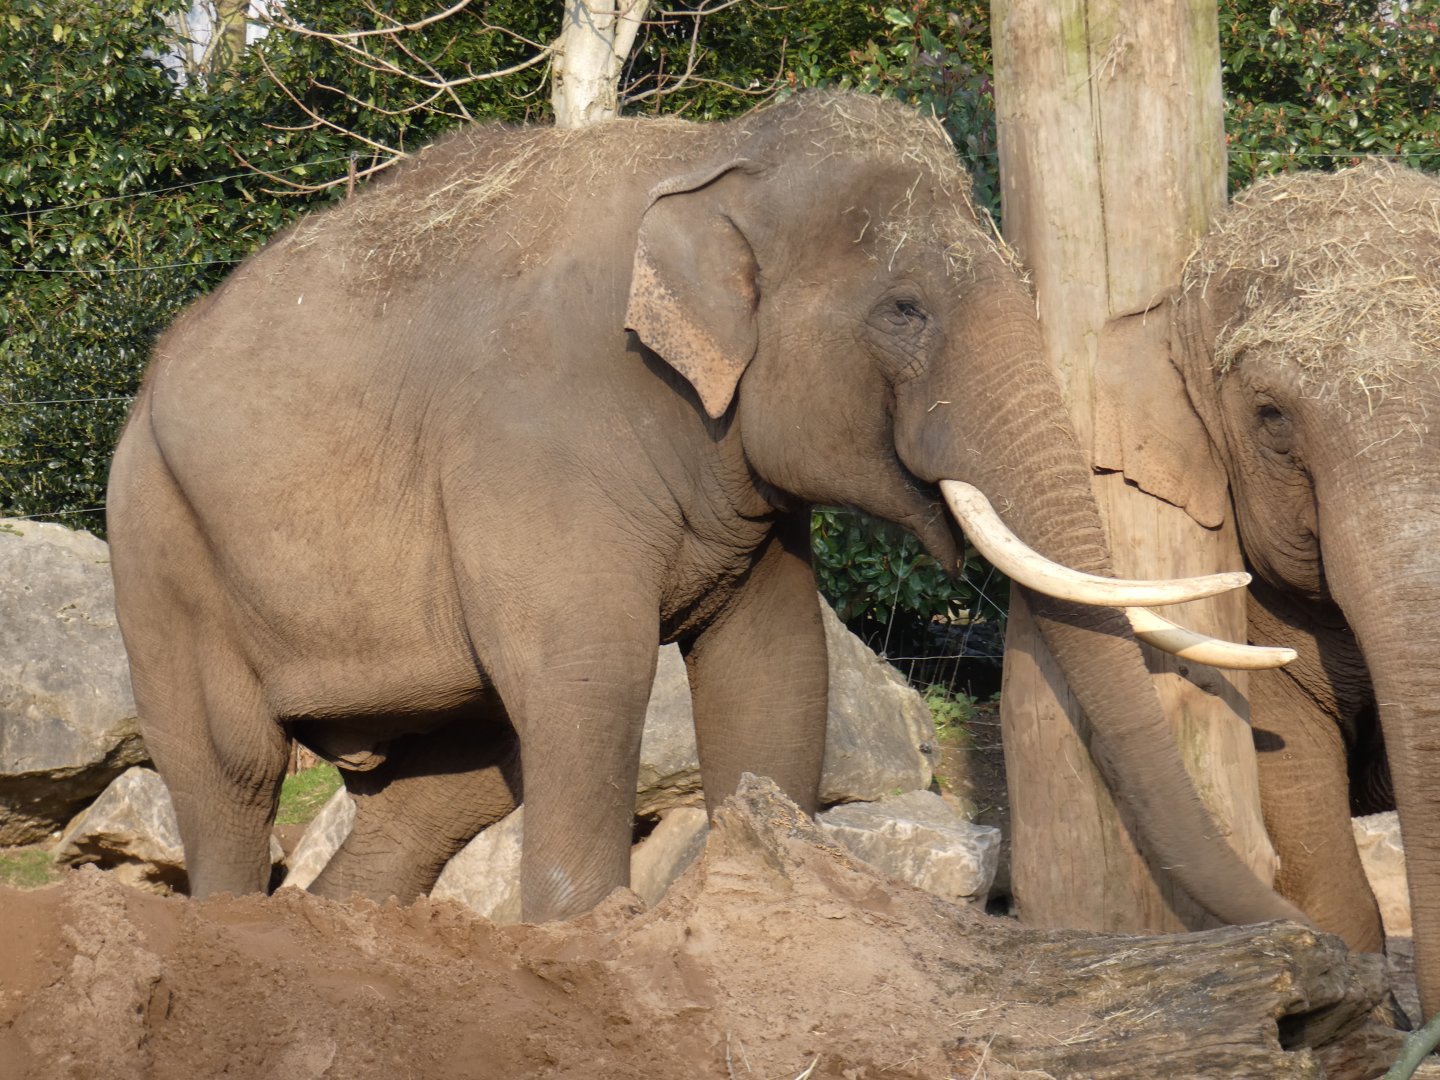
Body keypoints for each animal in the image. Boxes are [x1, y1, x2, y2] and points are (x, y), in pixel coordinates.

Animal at [106, 90, 1303, 928]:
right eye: (905, 309)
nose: (1317, 949)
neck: (714, 158)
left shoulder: (751, 494)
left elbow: (777, 674)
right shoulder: (533, 439)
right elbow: (588, 675)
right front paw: (587, 937)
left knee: (448, 784)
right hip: (158, 539)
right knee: (230, 768)